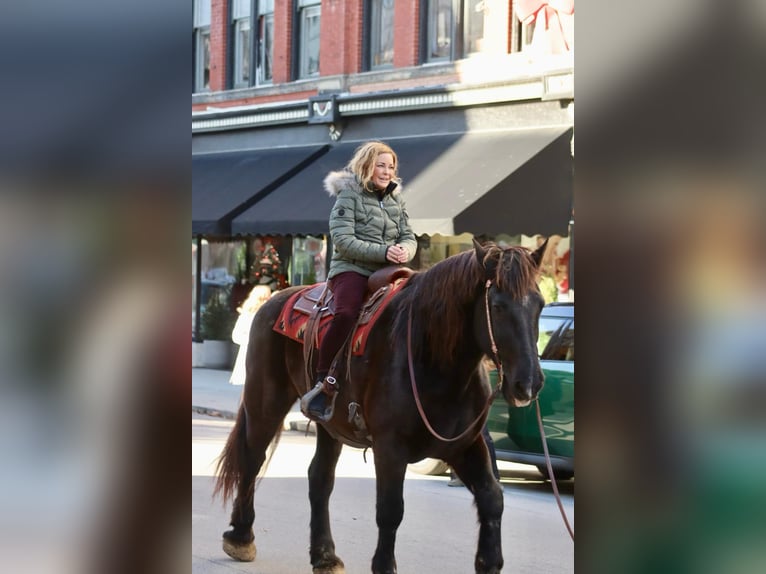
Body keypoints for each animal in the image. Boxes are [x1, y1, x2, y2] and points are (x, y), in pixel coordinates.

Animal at [216, 240, 548, 574]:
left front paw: (490, 561)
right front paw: (384, 565)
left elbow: (492, 497)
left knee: (319, 478)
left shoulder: (465, 445)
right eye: (498, 306)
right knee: (252, 459)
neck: (434, 359)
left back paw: (324, 556)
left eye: (540, 304)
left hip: (331, 426)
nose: (528, 384)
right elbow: (390, 509)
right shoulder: (390, 448)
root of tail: (277, 299)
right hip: (265, 403)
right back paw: (241, 537)